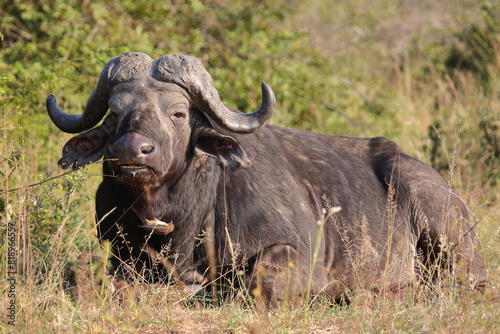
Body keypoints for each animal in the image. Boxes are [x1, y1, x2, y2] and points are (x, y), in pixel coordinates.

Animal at [46, 52, 484, 306]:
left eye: (178, 113)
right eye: (116, 112)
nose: (132, 151)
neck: (179, 220)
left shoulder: (298, 254)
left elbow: (258, 282)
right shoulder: (121, 256)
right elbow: (116, 286)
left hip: (443, 227)